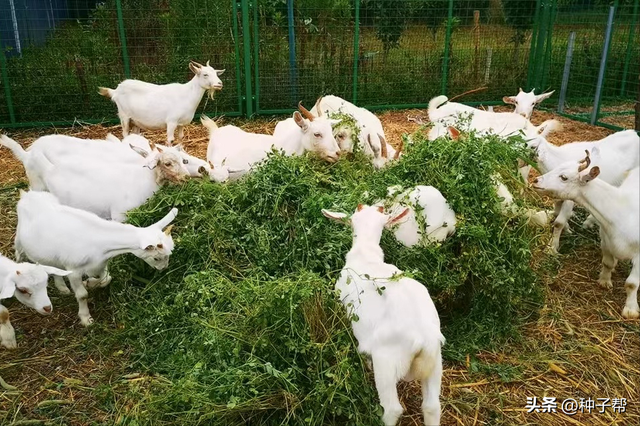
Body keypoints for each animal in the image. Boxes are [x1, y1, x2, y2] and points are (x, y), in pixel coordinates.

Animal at [15, 191, 179, 324]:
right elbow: (82, 295)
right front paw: (86, 318)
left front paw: (90, 283)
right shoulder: (73, 270)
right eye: (157, 258)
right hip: (19, 240)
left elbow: (106, 279)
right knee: (18, 254)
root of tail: (27, 195)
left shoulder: (100, 263)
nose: (163, 269)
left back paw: (62, 287)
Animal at [322, 205, 442, 424]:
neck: (366, 255)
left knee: (392, 408)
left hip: (387, 363)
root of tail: (424, 341)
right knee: (432, 406)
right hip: (436, 363)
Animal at [536, 151, 640, 318]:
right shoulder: (605, 240)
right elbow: (607, 263)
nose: (536, 180)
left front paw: (630, 310)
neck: (621, 210)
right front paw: (604, 280)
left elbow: (632, 283)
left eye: (564, 177)